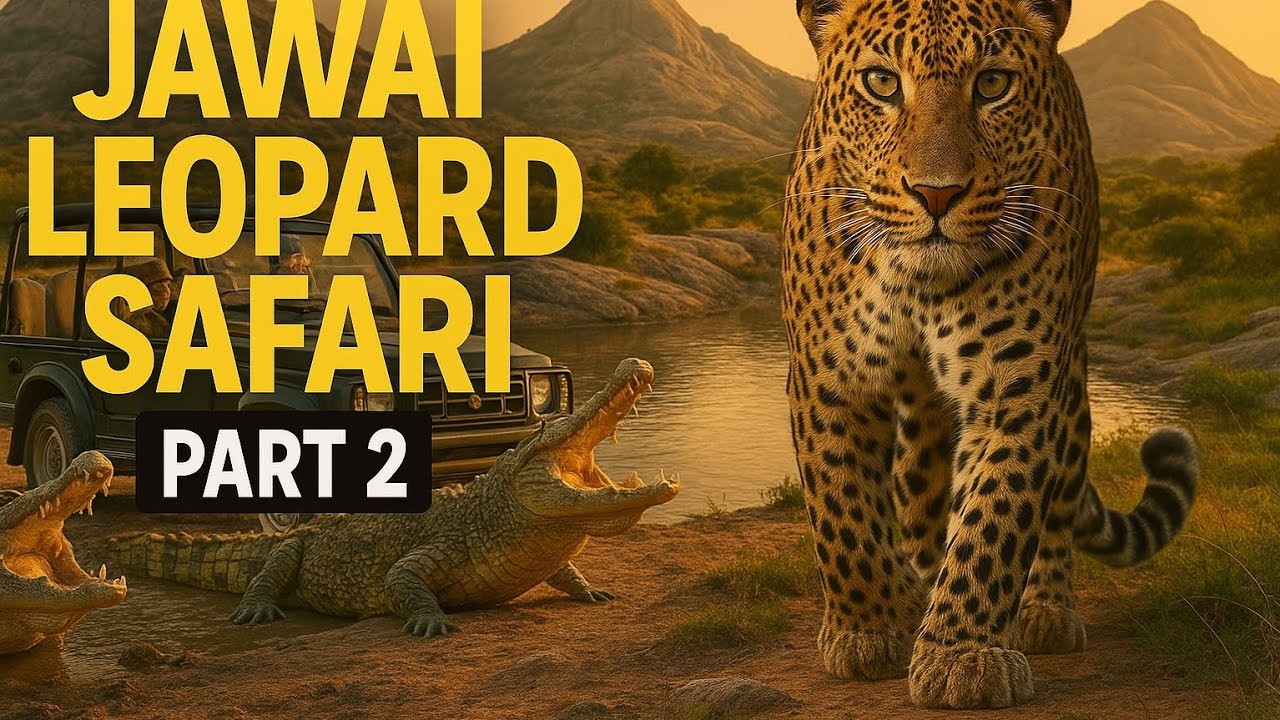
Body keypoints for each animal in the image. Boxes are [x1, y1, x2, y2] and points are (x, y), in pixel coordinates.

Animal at [782, 0, 1199, 709]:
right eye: (882, 83)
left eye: (992, 84)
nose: (936, 194)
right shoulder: (828, 372)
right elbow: (842, 508)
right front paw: (868, 630)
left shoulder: (1019, 384)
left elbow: (995, 518)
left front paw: (962, 656)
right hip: (919, 429)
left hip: (1072, 388)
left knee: (1056, 504)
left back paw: (1044, 611)